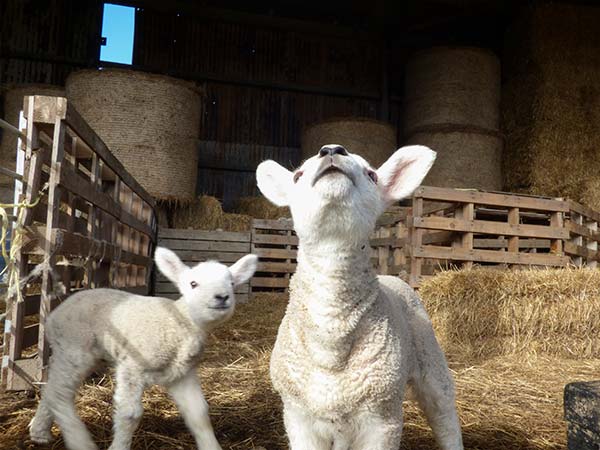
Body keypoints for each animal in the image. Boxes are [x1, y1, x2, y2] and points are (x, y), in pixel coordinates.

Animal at [28, 248, 258, 450]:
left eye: (231, 283)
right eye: (193, 284)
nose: (222, 297)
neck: (178, 322)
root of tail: (53, 315)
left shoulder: (182, 374)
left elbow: (199, 413)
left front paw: (211, 446)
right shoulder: (133, 367)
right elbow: (129, 414)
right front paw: (119, 447)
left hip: (73, 353)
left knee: (51, 387)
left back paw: (39, 432)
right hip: (74, 348)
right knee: (59, 393)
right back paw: (80, 442)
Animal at [256, 144, 464, 450]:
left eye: (372, 175)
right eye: (297, 176)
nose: (331, 150)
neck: (331, 345)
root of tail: (391, 277)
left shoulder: (382, 420)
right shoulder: (297, 417)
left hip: (431, 357)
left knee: (444, 413)